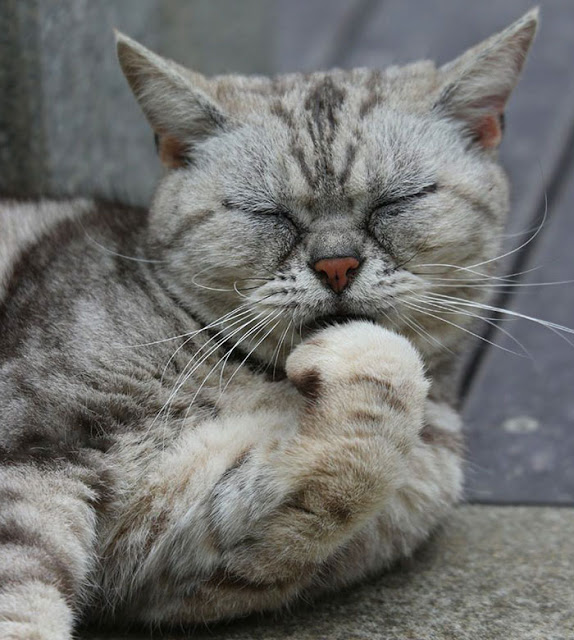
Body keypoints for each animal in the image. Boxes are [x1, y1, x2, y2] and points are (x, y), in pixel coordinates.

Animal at [0, 10, 540, 640]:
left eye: (395, 202)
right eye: (268, 213)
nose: (336, 265)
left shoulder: (171, 548)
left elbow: (363, 447)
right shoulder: (34, 451)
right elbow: (22, 598)